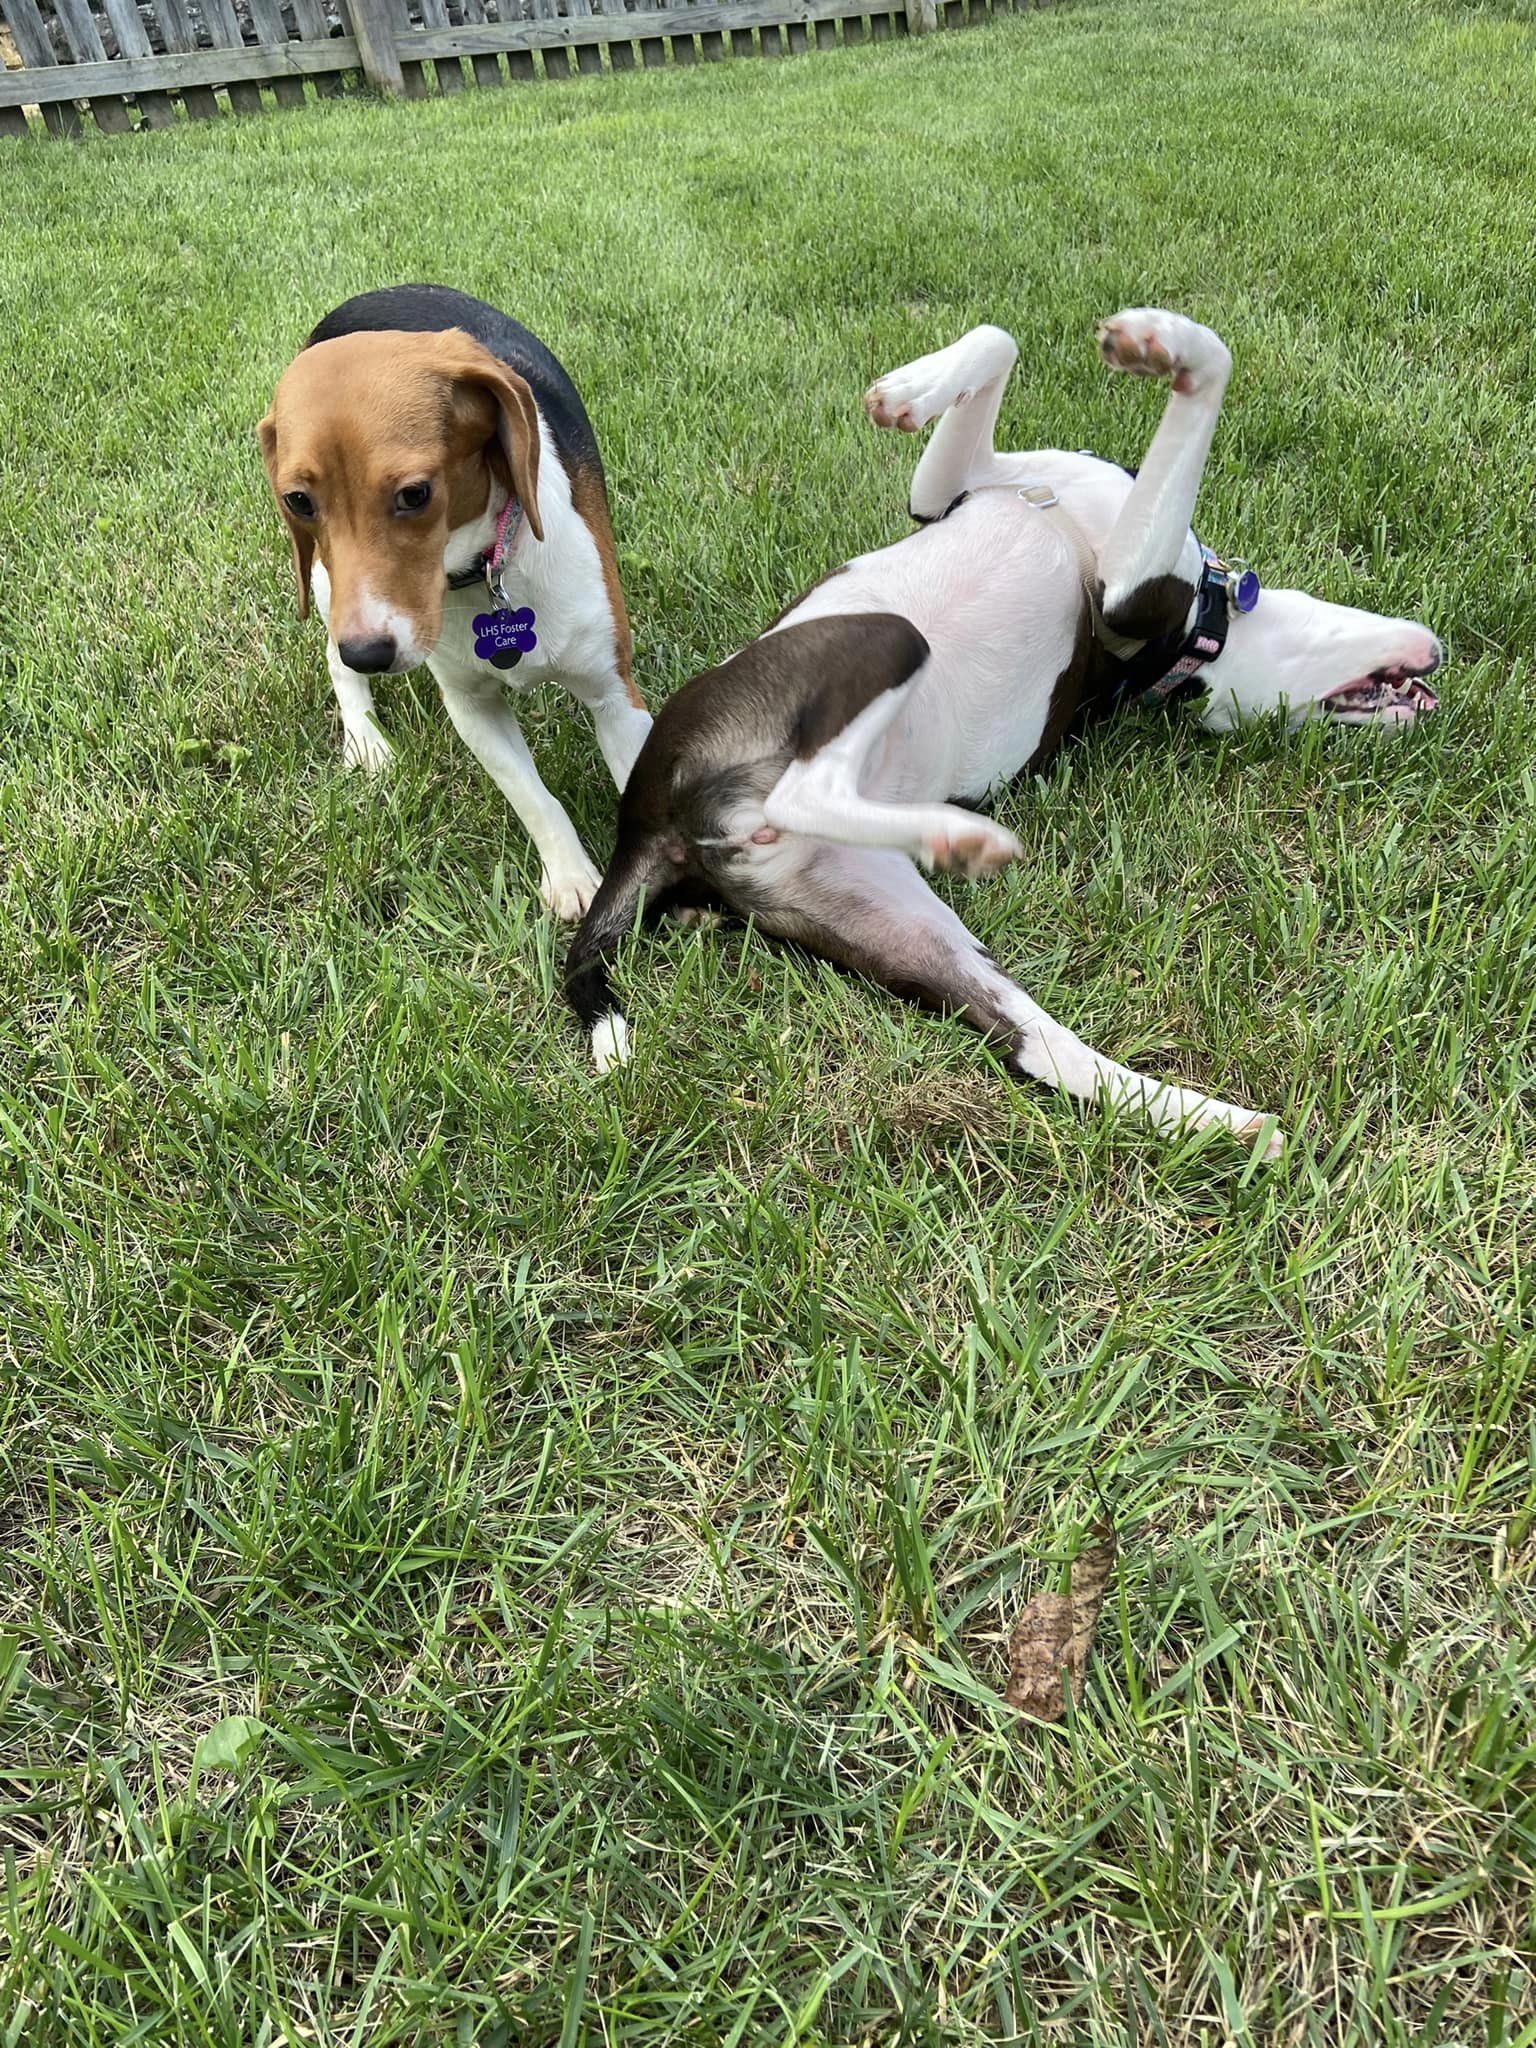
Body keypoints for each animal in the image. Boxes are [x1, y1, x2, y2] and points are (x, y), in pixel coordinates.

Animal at [257, 282, 651, 921]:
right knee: (332, 661)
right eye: (298, 500)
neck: (485, 571)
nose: (368, 651)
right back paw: (365, 737)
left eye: (416, 494)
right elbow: (535, 799)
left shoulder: (615, 694)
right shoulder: (471, 708)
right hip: (322, 581)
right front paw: (571, 876)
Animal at [565, 303, 1441, 1155]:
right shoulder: (949, 488)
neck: (1206, 633)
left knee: (1030, 1034)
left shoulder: (1125, 590)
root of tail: (650, 823)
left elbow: (1199, 364)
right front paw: (911, 393)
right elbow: (998, 340)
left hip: (882, 737)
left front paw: (1166, 345)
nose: (1437, 664)